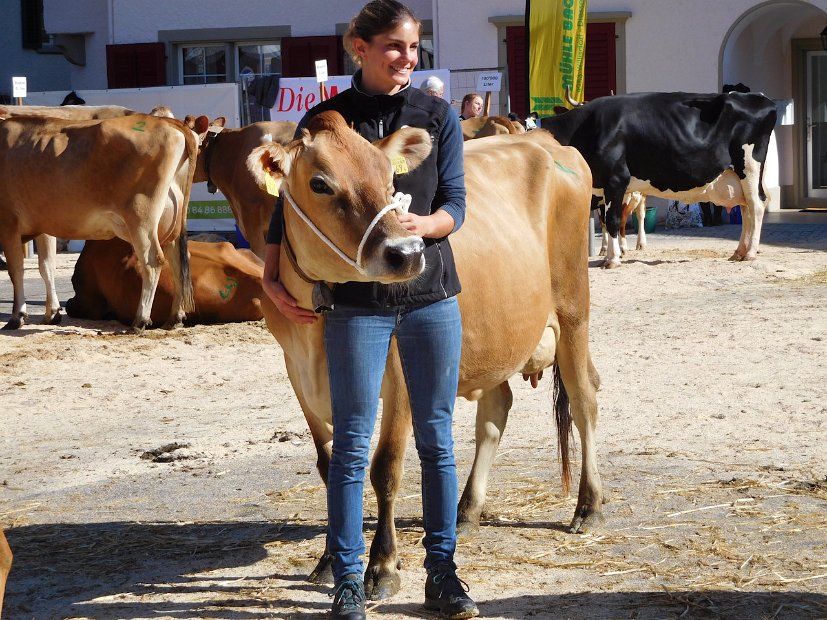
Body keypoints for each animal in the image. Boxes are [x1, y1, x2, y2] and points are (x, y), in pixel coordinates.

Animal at [0, 114, 203, 332]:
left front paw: (17, 316)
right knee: (178, 261)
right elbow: (46, 267)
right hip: (170, 223)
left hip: (141, 217)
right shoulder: (43, 226)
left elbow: (16, 270)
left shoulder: (8, 223)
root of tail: (168, 122)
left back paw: (140, 320)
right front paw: (52, 314)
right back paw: (175, 318)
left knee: (153, 261)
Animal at [246, 112, 600, 600]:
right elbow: (330, 465)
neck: (317, 331)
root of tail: (544, 138)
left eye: (388, 179)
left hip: (573, 309)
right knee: (496, 410)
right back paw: (466, 510)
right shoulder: (297, 372)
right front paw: (330, 560)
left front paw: (382, 566)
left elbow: (386, 467)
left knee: (585, 401)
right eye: (319, 184)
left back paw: (588, 506)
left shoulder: (397, 372)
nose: (407, 253)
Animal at [540, 90, 780, 266]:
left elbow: (613, 220)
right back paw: (739, 251)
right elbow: (608, 222)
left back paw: (750, 253)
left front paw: (612, 259)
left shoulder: (616, 180)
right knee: (746, 208)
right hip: (737, 177)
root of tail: (760, 98)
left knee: (756, 205)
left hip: (749, 167)